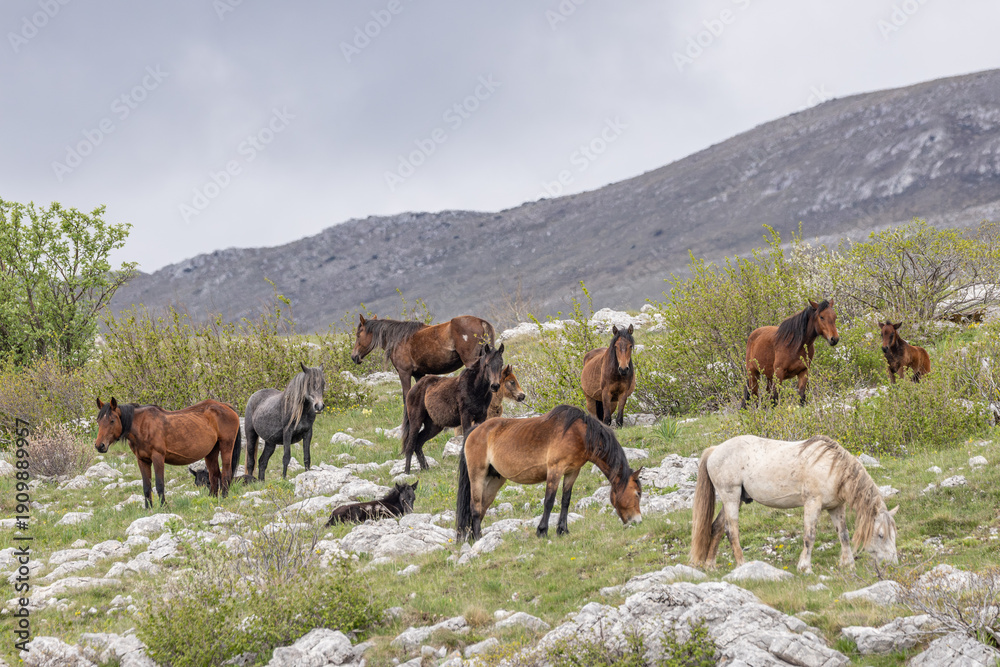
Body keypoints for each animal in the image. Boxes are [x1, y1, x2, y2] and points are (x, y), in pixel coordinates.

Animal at [94, 397, 241, 508]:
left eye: (112, 420)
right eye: (98, 420)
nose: (99, 446)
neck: (143, 426)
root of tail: (226, 406)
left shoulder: (158, 457)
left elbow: (159, 484)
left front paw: (164, 506)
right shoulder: (142, 460)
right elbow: (146, 486)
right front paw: (148, 509)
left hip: (226, 446)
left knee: (226, 473)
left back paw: (224, 497)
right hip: (211, 451)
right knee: (214, 474)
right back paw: (211, 499)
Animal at [351, 314, 495, 402]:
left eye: (358, 335)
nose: (354, 357)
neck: (398, 339)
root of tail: (481, 322)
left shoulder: (404, 373)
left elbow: (406, 396)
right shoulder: (419, 374)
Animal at [401, 344, 506, 474]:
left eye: (501, 364)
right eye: (487, 364)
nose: (495, 386)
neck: (475, 388)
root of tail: (413, 389)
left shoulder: (481, 416)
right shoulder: (465, 416)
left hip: (434, 426)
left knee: (418, 443)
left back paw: (426, 468)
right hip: (416, 421)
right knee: (410, 445)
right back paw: (407, 472)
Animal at [457, 405, 643, 542]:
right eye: (637, 493)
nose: (638, 521)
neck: (580, 434)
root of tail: (475, 430)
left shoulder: (572, 472)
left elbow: (565, 500)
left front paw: (563, 530)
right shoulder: (555, 469)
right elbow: (549, 501)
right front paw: (542, 531)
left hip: (494, 481)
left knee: (482, 507)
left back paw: (474, 538)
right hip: (477, 475)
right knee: (475, 506)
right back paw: (479, 538)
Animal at [689, 434, 898, 574]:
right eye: (881, 535)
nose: (893, 564)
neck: (833, 468)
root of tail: (715, 450)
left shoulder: (836, 507)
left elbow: (844, 535)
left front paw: (848, 564)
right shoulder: (812, 504)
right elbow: (809, 536)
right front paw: (805, 567)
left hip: (735, 499)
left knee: (716, 527)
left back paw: (710, 565)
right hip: (731, 497)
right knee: (731, 531)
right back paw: (742, 565)